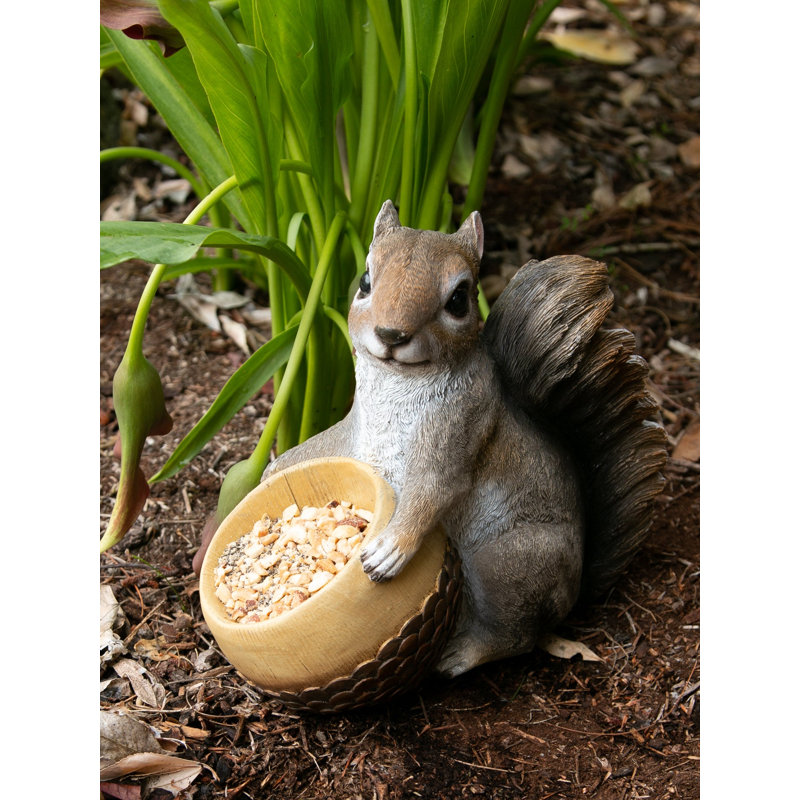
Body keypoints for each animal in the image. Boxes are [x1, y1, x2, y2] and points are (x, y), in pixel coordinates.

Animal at [266, 200, 667, 678]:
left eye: (459, 299)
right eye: (364, 280)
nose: (390, 335)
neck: (395, 382)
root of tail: (575, 589)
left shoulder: (460, 424)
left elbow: (434, 488)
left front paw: (390, 549)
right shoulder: (354, 430)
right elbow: (320, 447)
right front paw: (273, 469)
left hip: (505, 565)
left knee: (515, 635)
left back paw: (460, 654)